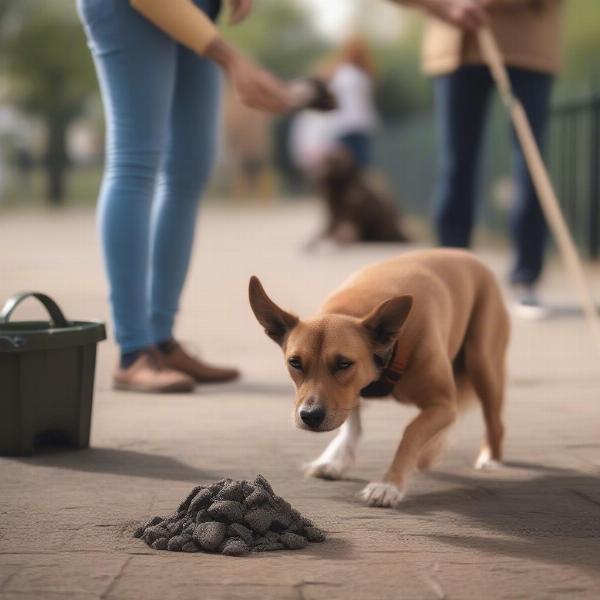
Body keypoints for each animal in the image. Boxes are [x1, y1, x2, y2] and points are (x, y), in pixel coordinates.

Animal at [246, 248, 508, 506]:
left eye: (344, 363)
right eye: (295, 363)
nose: (310, 416)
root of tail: (467, 254)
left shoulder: (443, 406)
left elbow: (411, 432)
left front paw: (389, 484)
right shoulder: (350, 395)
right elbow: (352, 423)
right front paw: (336, 460)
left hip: (482, 362)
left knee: (494, 421)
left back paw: (490, 458)